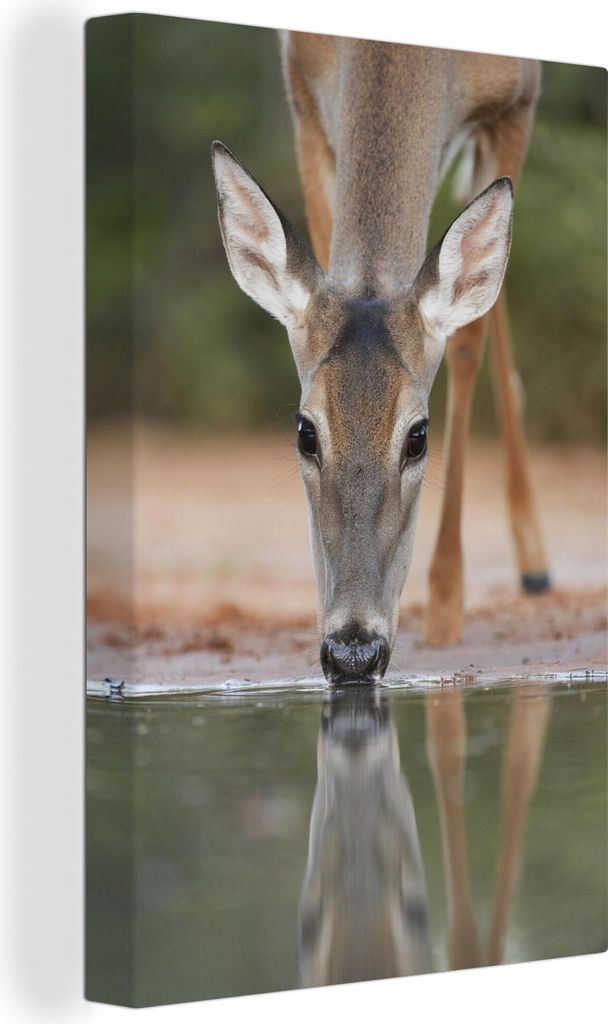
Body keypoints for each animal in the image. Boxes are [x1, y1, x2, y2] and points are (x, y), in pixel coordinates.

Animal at [211, 32, 550, 685]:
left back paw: (534, 563)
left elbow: (466, 340)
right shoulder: (304, 95)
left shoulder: (517, 102)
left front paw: (445, 606)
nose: (353, 651)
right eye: (305, 432)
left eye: (418, 436)